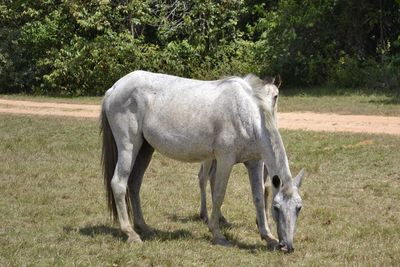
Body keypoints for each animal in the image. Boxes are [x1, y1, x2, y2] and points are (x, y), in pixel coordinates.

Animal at [100, 70, 304, 252]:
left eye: (299, 208)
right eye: (276, 208)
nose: (287, 246)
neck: (247, 114)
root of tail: (114, 88)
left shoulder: (255, 163)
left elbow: (259, 197)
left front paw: (268, 236)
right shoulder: (225, 160)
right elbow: (219, 195)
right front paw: (217, 234)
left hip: (145, 150)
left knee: (134, 184)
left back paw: (143, 227)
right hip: (129, 147)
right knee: (119, 184)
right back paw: (131, 233)